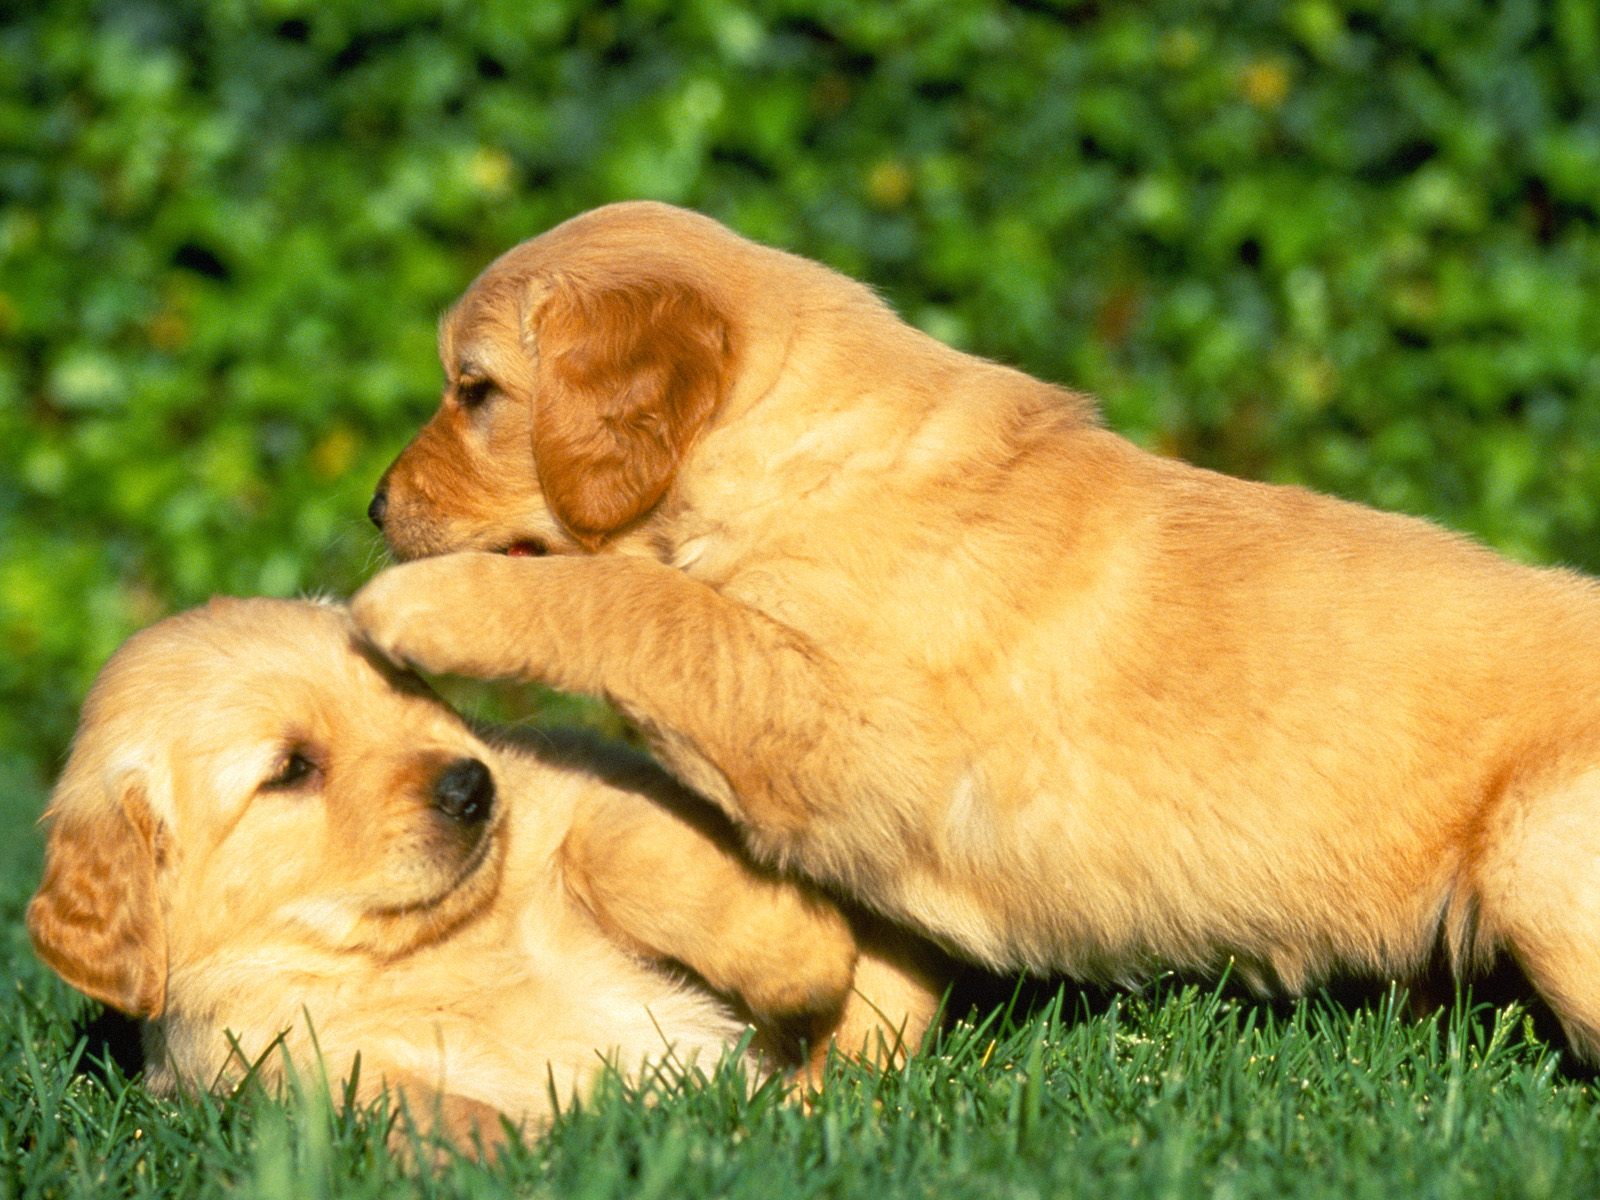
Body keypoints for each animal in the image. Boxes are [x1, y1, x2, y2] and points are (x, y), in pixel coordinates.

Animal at [25, 598, 934, 1152]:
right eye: (290, 770)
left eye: (402, 690)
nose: (471, 787)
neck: (437, 944)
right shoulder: (284, 1066)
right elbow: (415, 1104)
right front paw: (529, 1154)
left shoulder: (588, 785)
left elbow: (623, 849)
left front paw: (803, 965)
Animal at [353, 202, 1600, 1068]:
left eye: (474, 390)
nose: (371, 507)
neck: (804, 455)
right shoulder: (870, 828)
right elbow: (872, 991)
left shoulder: (842, 716)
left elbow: (645, 607)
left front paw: (417, 603)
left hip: (1538, 849)